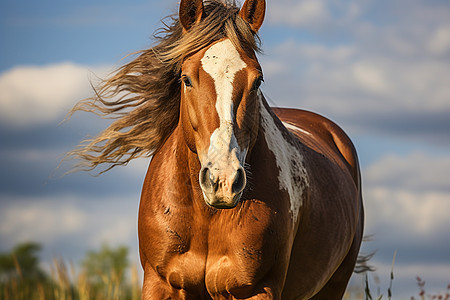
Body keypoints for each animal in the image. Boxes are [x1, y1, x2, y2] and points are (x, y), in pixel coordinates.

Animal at [71, 0, 366, 298]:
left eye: (258, 80)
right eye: (186, 79)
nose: (223, 180)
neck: (206, 216)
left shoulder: (257, 289)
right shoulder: (160, 284)